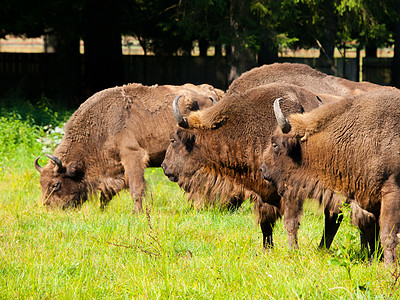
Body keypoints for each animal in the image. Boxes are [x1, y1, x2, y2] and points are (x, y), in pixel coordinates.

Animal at [34, 82, 222, 211]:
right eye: (42, 183)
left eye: (56, 184)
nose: (49, 207)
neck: (102, 123)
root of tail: (214, 92)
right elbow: (107, 193)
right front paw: (101, 211)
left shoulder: (133, 156)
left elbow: (136, 188)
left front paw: (138, 213)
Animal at [162, 83, 332, 247]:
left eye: (173, 140)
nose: (165, 167)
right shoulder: (264, 193)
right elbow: (265, 223)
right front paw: (267, 248)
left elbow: (287, 220)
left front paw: (288, 249)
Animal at [260, 88, 400, 264]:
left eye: (275, 144)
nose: (263, 169)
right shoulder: (366, 199)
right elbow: (372, 231)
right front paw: (375, 260)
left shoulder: (391, 192)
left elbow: (387, 233)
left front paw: (388, 266)